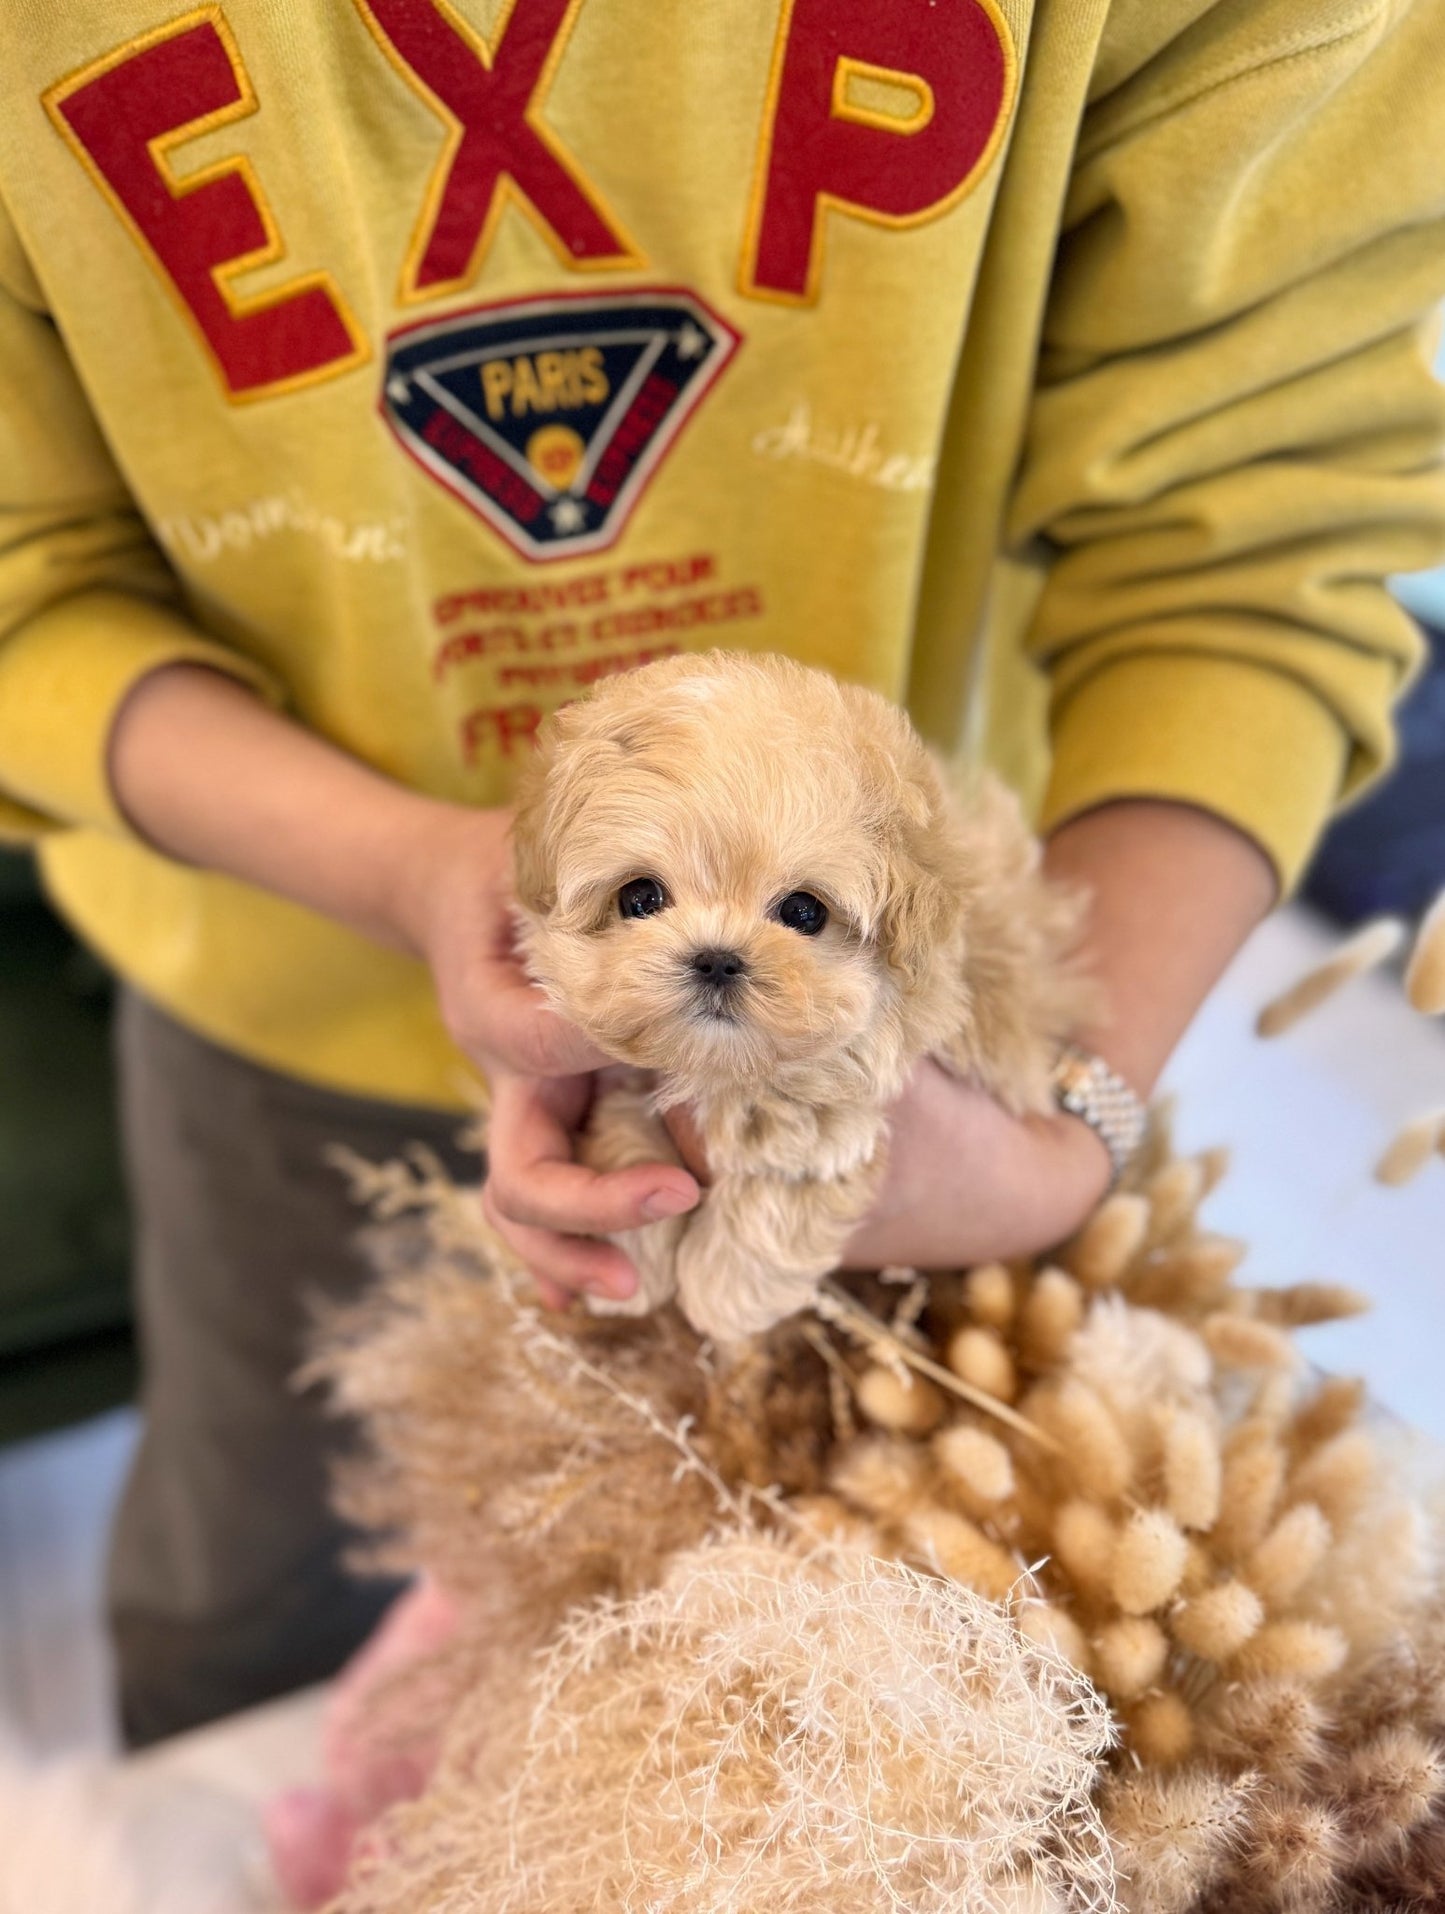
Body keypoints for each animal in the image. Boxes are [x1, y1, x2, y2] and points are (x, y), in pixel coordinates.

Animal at [512, 658, 1087, 1347]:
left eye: (804, 912)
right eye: (640, 898)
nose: (716, 958)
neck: (724, 1067)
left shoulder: (843, 1096)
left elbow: (780, 1172)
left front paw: (722, 1296)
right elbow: (626, 1130)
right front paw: (627, 1262)